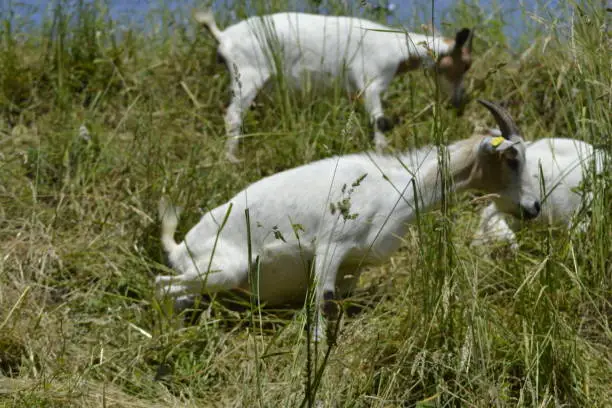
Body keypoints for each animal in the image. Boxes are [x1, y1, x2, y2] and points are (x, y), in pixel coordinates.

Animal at [155, 99, 536, 342]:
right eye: (512, 158)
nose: (532, 207)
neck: (396, 185)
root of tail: (181, 247)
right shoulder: (330, 248)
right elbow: (322, 302)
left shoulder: (352, 267)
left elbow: (336, 302)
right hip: (222, 272)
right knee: (163, 286)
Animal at [195, 10, 474, 163]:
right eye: (465, 65)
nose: (458, 102)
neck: (398, 49)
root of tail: (223, 37)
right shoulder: (371, 84)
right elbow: (379, 122)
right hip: (248, 76)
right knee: (233, 116)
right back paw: (232, 158)